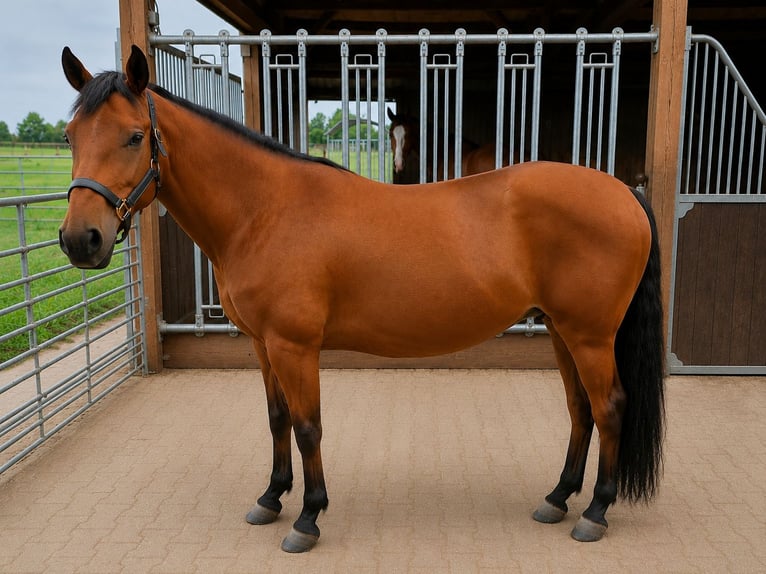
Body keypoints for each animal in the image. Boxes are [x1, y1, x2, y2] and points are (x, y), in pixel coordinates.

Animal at [59, 45, 665, 553]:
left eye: (135, 136)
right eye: (70, 136)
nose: (79, 240)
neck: (264, 210)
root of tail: (624, 193)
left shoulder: (295, 346)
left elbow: (308, 425)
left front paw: (308, 518)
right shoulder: (263, 345)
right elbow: (278, 419)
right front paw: (271, 498)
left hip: (590, 335)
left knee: (609, 407)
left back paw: (596, 512)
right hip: (563, 330)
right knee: (579, 409)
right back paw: (558, 498)